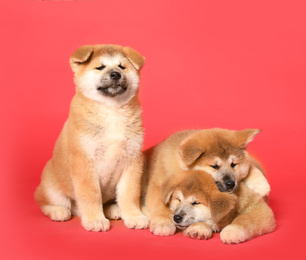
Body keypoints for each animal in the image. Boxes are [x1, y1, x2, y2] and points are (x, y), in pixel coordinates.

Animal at [35, 44, 149, 232]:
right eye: (100, 67)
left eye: (122, 67)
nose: (115, 74)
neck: (111, 110)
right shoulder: (84, 161)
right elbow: (91, 195)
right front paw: (95, 219)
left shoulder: (132, 160)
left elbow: (129, 194)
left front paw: (134, 216)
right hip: (51, 186)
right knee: (45, 201)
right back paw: (58, 211)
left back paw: (113, 209)